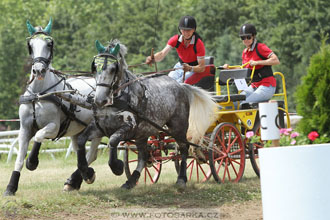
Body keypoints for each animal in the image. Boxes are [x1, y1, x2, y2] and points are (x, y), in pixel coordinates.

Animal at [3, 18, 101, 195]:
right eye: (30, 45)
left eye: (50, 44)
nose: (39, 70)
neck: (38, 95)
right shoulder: (24, 128)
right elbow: (19, 159)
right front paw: (11, 188)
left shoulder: (54, 127)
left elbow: (39, 136)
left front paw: (32, 161)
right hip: (77, 130)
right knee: (80, 151)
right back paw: (76, 179)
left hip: (97, 128)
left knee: (92, 154)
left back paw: (85, 175)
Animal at [70, 40, 217, 189]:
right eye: (95, 67)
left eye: (113, 69)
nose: (100, 100)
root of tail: (180, 85)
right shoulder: (100, 127)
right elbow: (81, 140)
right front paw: (86, 173)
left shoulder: (128, 127)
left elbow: (112, 140)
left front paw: (117, 166)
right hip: (143, 132)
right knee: (143, 155)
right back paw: (131, 180)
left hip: (178, 126)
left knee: (183, 148)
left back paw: (182, 178)